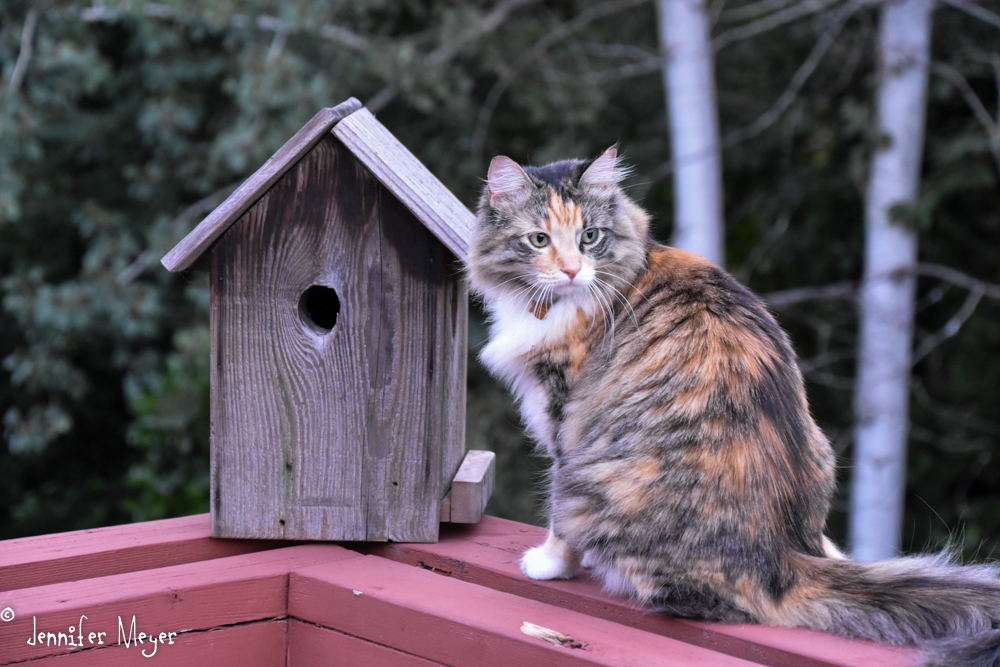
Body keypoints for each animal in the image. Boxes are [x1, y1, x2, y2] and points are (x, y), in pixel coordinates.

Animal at [466, 149, 1000, 667]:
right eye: (539, 240)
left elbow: (557, 520)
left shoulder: (564, 423)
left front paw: (549, 564)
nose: (573, 270)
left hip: (593, 480)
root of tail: (782, 558)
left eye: (590, 236)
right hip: (820, 446)